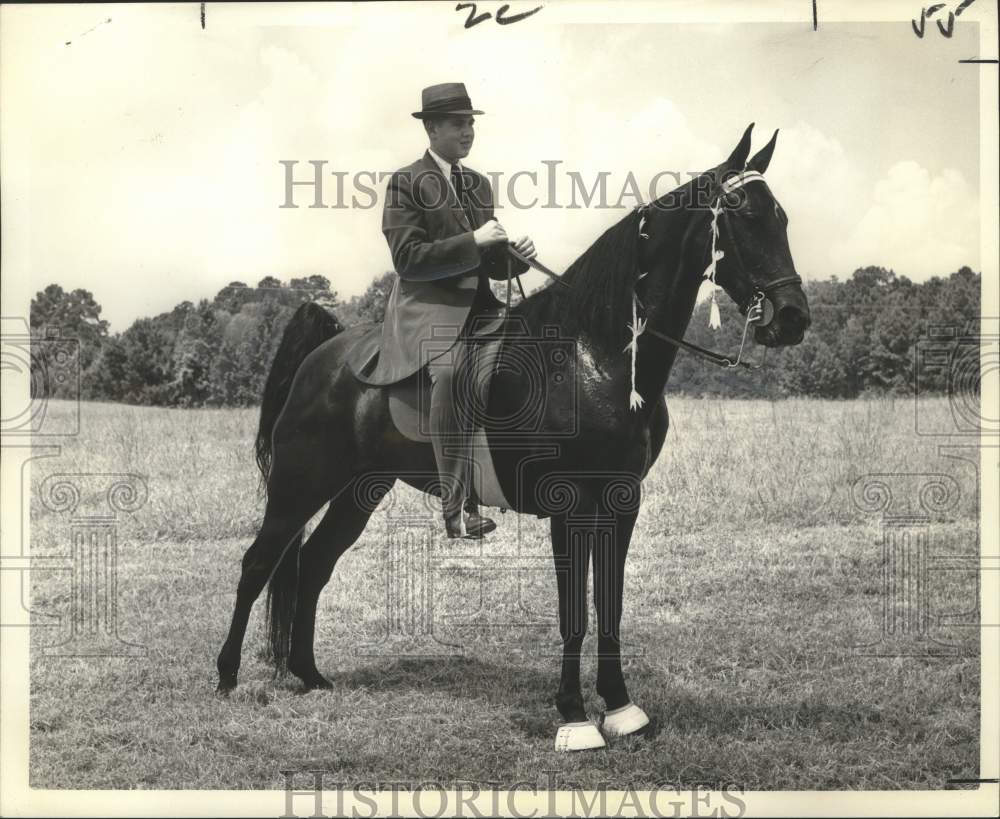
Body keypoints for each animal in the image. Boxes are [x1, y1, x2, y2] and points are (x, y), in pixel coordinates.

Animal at [217, 126, 812, 748]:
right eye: (744, 214)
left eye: (782, 217)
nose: (793, 317)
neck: (594, 354)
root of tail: (324, 352)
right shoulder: (569, 505)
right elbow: (574, 611)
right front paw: (575, 718)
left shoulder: (621, 500)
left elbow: (611, 604)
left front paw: (622, 708)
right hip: (299, 487)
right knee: (257, 564)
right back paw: (228, 676)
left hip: (360, 490)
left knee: (313, 564)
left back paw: (310, 674)